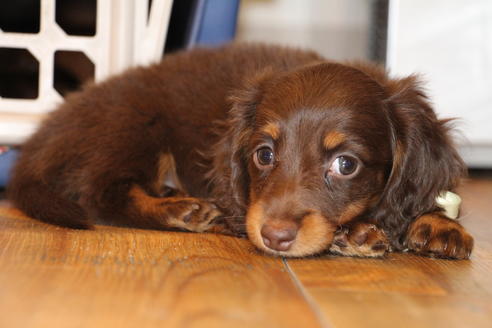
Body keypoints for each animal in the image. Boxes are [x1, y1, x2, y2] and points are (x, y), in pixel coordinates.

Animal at [7, 43, 474, 258]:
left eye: (346, 164)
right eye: (264, 154)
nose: (274, 237)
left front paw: (437, 223)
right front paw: (360, 234)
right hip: (133, 127)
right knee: (102, 193)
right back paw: (182, 210)